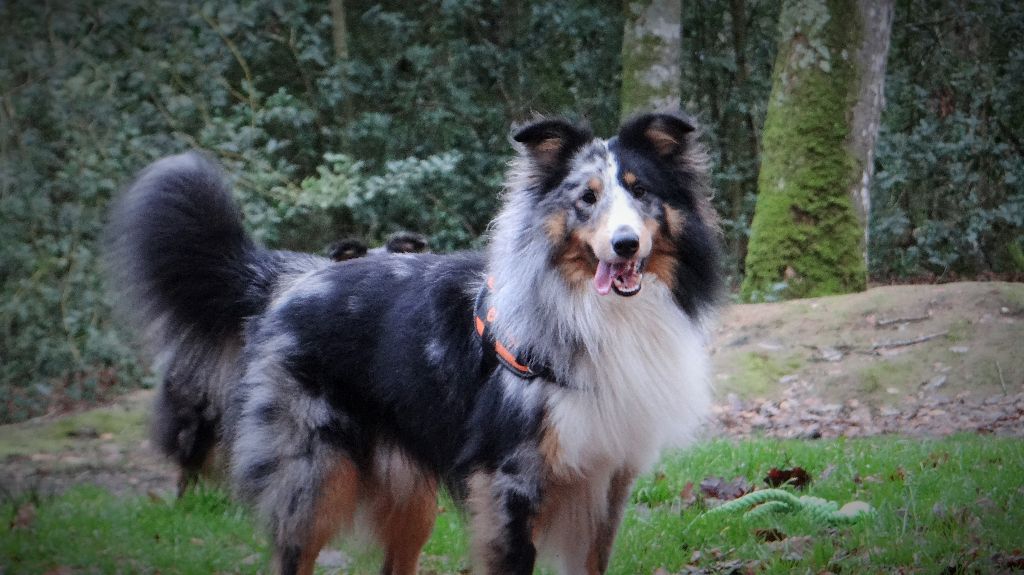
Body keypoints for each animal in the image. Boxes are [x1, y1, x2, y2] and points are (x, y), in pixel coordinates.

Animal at [106, 112, 720, 575]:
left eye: (640, 192)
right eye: (587, 198)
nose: (625, 245)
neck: (597, 313)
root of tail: (292, 278)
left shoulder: (606, 481)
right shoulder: (510, 481)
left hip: (410, 496)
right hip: (314, 478)